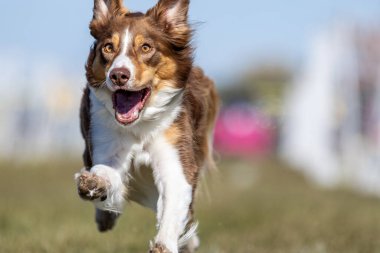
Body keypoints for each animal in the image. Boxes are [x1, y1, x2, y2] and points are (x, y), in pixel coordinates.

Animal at [74, 0, 218, 252]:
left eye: (146, 48)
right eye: (108, 47)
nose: (118, 75)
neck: (139, 126)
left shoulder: (175, 154)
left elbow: (174, 200)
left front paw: (164, 245)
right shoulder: (105, 143)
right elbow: (105, 173)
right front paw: (93, 183)